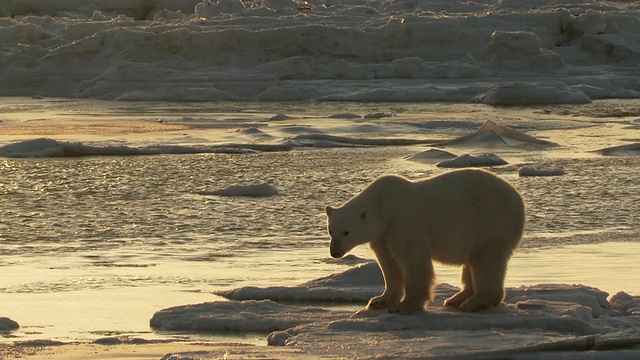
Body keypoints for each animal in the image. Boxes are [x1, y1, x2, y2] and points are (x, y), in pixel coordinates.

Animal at [324, 167, 524, 314]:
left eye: (347, 232)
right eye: (331, 231)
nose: (335, 252)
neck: (384, 206)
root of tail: (518, 200)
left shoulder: (404, 223)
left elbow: (412, 260)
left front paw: (404, 306)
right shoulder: (382, 235)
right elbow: (389, 264)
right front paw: (379, 301)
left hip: (490, 222)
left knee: (486, 260)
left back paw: (474, 302)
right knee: (474, 261)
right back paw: (457, 298)